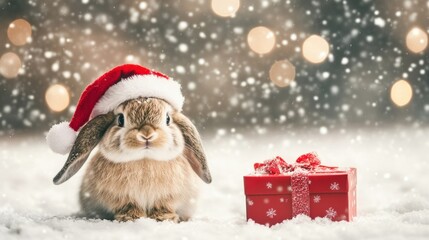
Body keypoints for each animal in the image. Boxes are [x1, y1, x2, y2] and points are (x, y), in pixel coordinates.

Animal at [51, 96, 211, 222]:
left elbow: (164, 206)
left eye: (167, 119)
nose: (147, 134)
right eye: (120, 119)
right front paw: (131, 217)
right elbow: (128, 206)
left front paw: (164, 218)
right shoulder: (120, 198)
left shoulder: (170, 197)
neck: (144, 160)